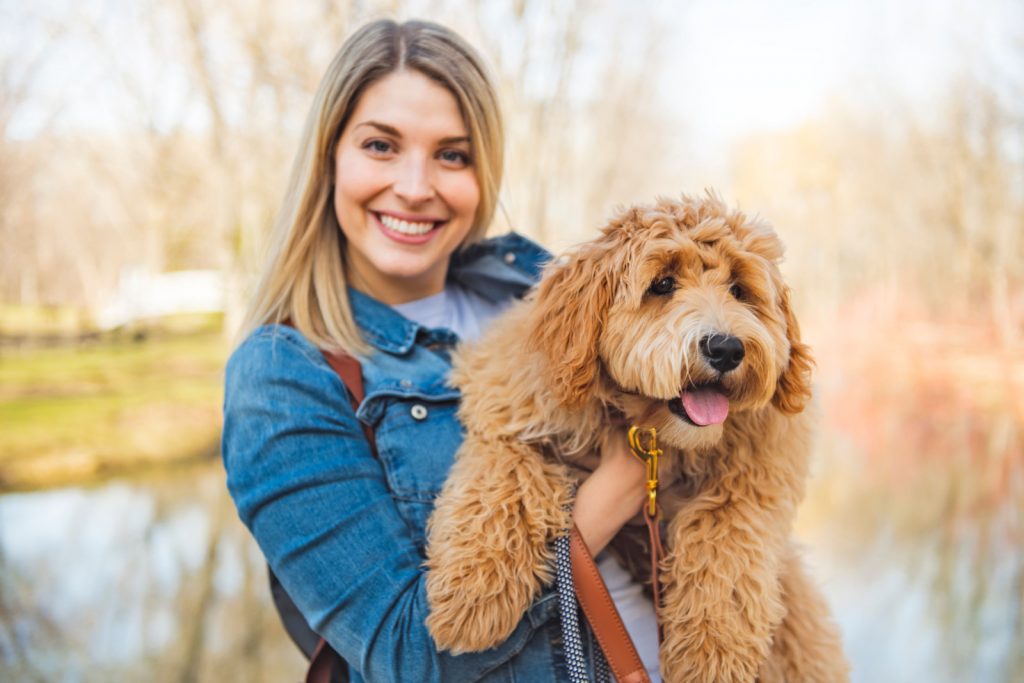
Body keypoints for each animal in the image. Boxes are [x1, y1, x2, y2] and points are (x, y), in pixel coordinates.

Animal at [423, 193, 847, 683]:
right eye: (662, 284)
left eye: (740, 290)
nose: (726, 348)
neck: (652, 430)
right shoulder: (507, 409)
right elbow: (506, 479)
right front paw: (472, 594)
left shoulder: (757, 479)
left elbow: (724, 537)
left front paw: (710, 653)